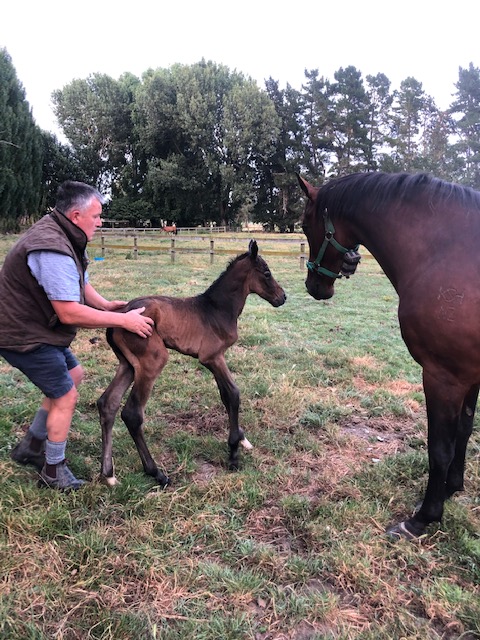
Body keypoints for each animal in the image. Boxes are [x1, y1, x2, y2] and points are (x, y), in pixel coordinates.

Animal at [97, 240, 286, 487]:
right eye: (267, 273)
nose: (283, 297)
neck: (216, 309)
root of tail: (119, 317)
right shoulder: (213, 357)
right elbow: (233, 394)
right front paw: (233, 453)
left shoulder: (214, 359)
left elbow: (225, 396)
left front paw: (242, 440)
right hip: (152, 361)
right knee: (132, 413)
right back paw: (156, 473)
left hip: (128, 365)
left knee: (107, 403)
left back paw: (109, 474)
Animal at [298, 171, 480, 540]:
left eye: (306, 224)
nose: (314, 285)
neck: (445, 251)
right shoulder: (470, 379)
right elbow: (464, 432)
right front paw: (452, 487)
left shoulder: (444, 377)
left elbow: (439, 447)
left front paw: (424, 518)